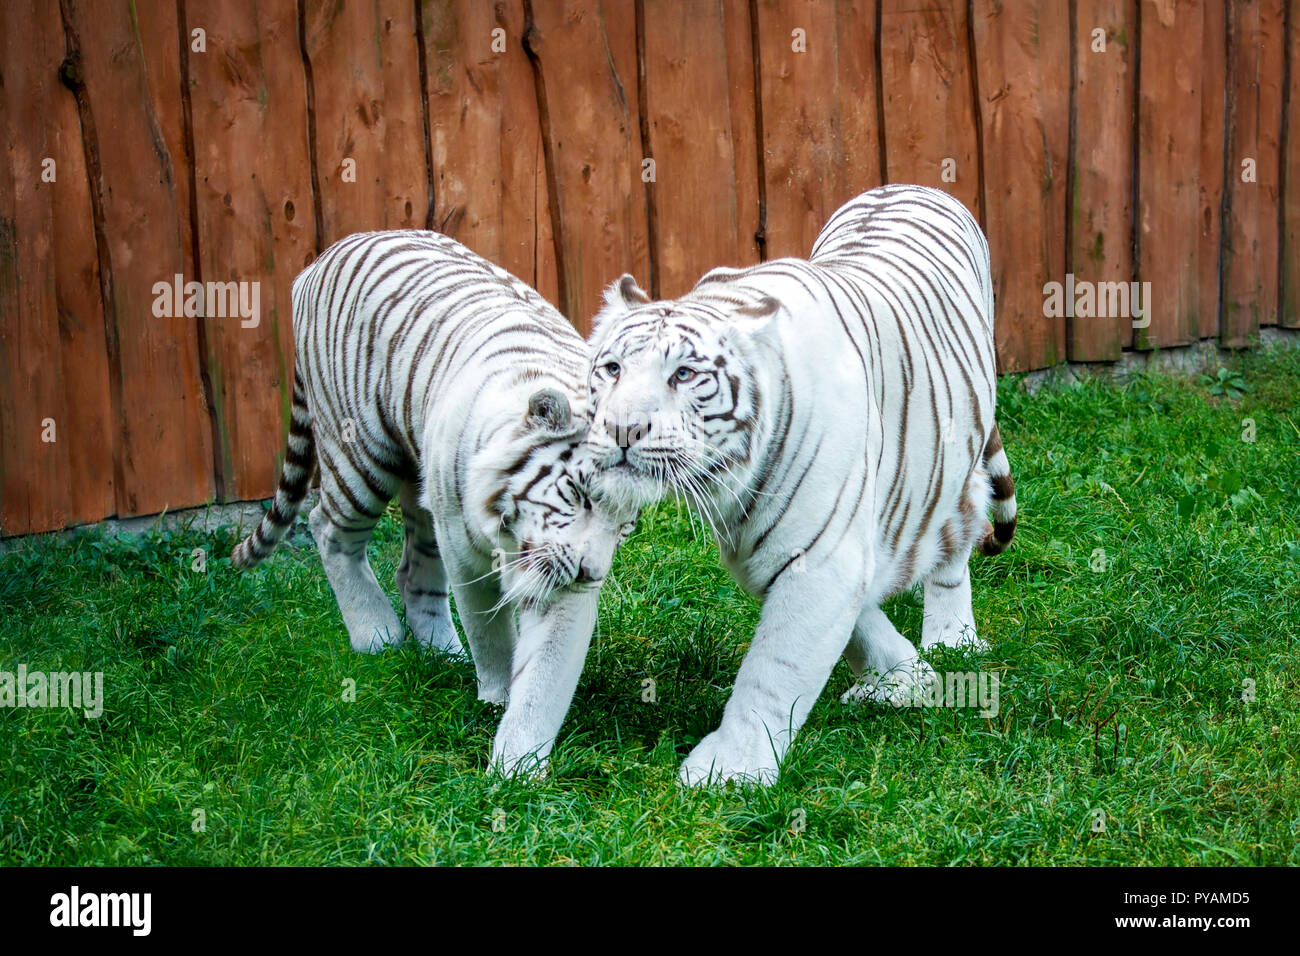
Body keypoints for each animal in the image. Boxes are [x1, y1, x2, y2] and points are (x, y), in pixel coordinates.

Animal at [231, 230, 637, 775]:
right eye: (581, 495)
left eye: (625, 527)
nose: (593, 573)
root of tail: (323, 257)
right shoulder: (467, 551)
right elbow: (489, 631)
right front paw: (494, 696)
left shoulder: (556, 579)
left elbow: (544, 678)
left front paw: (518, 769)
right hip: (362, 457)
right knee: (326, 527)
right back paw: (377, 635)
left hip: (422, 491)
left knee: (410, 570)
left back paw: (442, 654)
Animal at [585, 184, 1017, 786]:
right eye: (612, 369)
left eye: (684, 375)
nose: (622, 428)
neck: (732, 477)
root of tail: (904, 185)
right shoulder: (766, 547)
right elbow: (856, 619)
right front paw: (904, 677)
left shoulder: (820, 553)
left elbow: (775, 668)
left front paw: (730, 769)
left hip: (953, 459)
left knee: (954, 547)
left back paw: (954, 639)